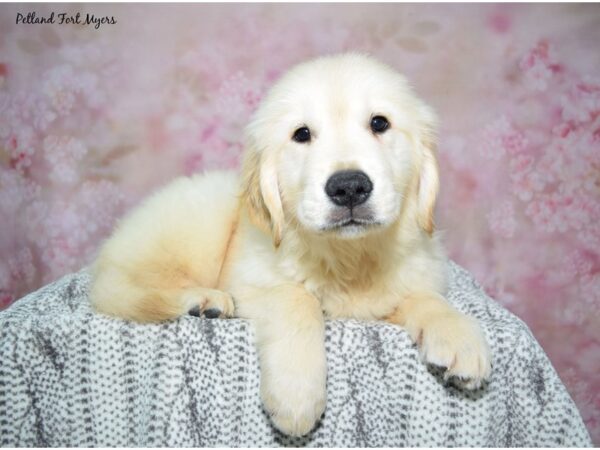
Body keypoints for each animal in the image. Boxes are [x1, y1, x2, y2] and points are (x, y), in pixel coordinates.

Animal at [91, 52, 490, 436]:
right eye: (301, 134)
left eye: (380, 123)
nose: (349, 187)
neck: (348, 256)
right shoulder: (249, 283)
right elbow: (298, 299)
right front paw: (296, 396)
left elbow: (423, 297)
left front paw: (458, 336)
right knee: (127, 288)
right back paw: (203, 301)